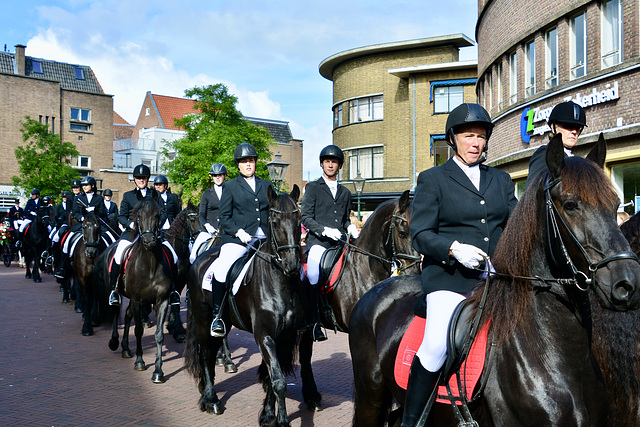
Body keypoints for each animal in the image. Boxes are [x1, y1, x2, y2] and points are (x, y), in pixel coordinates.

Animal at [95, 194, 176, 384]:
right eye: (138, 216)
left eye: (158, 214)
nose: (149, 241)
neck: (150, 264)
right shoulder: (138, 300)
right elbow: (138, 331)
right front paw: (140, 362)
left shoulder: (162, 301)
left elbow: (159, 334)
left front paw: (158, 371)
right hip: (120, 295)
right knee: (117, 313)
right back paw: (115, 342)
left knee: (127, 315)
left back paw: (125, 348)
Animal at [184, 186, 304, 426]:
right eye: (275, 221)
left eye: (299, 221)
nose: (292, 265)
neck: (279, 282)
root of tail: (199, 259)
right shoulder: (264, 336)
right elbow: (278, 382)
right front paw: (282, 420)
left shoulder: (284, 336)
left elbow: (270, 377)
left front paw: (268, 415)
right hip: (203, 320)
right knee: (205, 355)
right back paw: (211, 400)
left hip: (224, 321)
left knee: (213, 350)